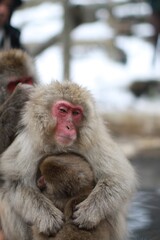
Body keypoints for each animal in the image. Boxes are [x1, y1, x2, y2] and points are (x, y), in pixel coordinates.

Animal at [0, 81, 136, 240]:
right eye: (63, 111)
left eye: (76, 113)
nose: (69, 127)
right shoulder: (28, 144)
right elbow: (15, 182)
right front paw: (48, 217)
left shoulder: (94, 140)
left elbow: (118, 178)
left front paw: (88, 213)